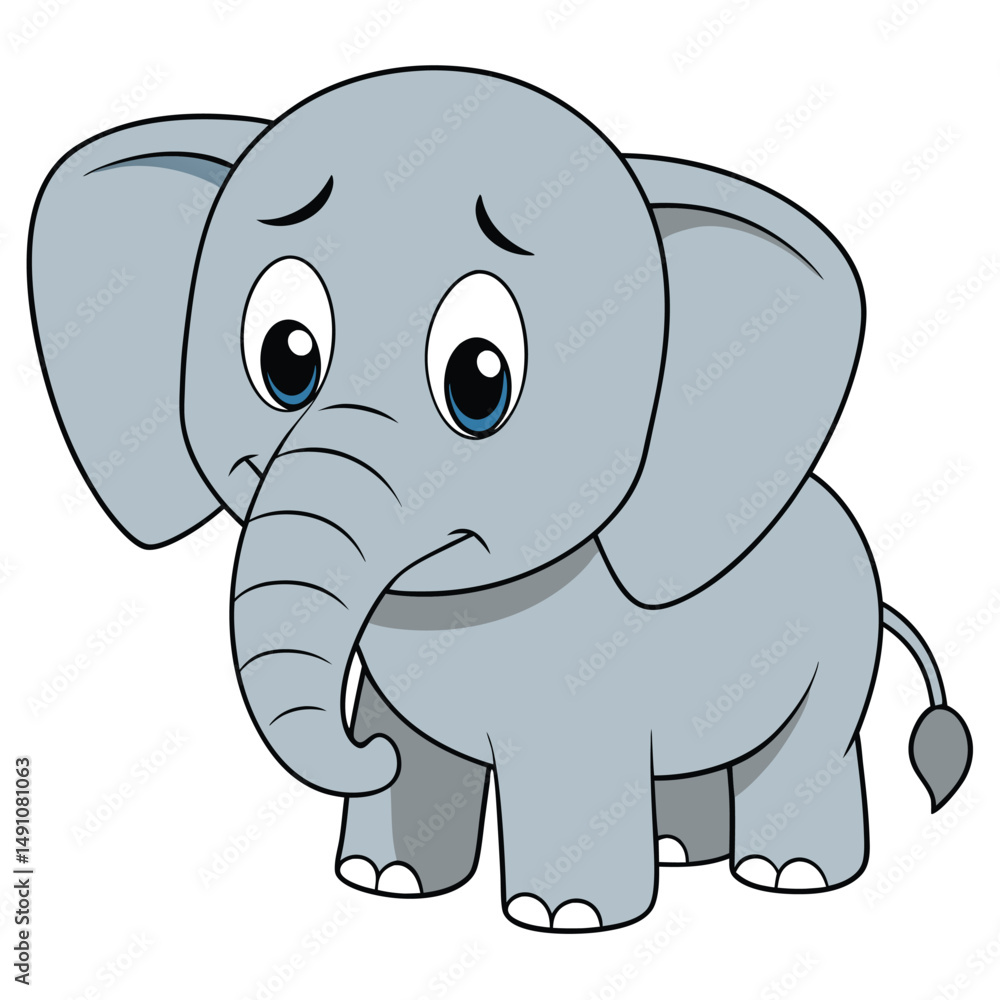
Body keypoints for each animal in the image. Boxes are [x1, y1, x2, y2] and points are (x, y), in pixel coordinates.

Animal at [28, 66, 972, 932]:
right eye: (286, 358)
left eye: (480, 381)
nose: (361, 749)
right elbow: (418, 754)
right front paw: (384, 881)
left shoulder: (589, 686)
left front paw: (568, 918)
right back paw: (681, 851)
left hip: (839, 649)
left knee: (809, 751)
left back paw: (790, 877)